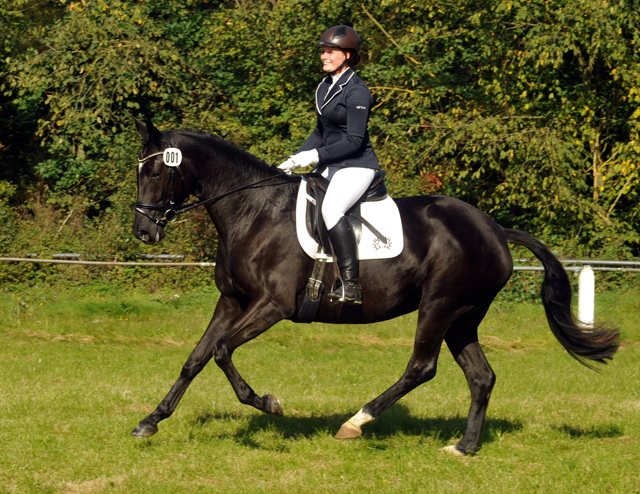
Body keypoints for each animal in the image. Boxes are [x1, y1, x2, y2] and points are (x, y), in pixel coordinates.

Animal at [131, 118, 620, 456]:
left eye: (156, 174)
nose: (143, 232)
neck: (253, 210)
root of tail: (495, 230)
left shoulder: (272, 305)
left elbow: (220, 352)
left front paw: (268, 403)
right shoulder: (232, 302)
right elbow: (195, 359)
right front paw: (151, 421)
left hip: (440, 306)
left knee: (421, 367)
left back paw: (356, 422)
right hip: (463, 317)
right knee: (481, 377)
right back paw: (463, 448)